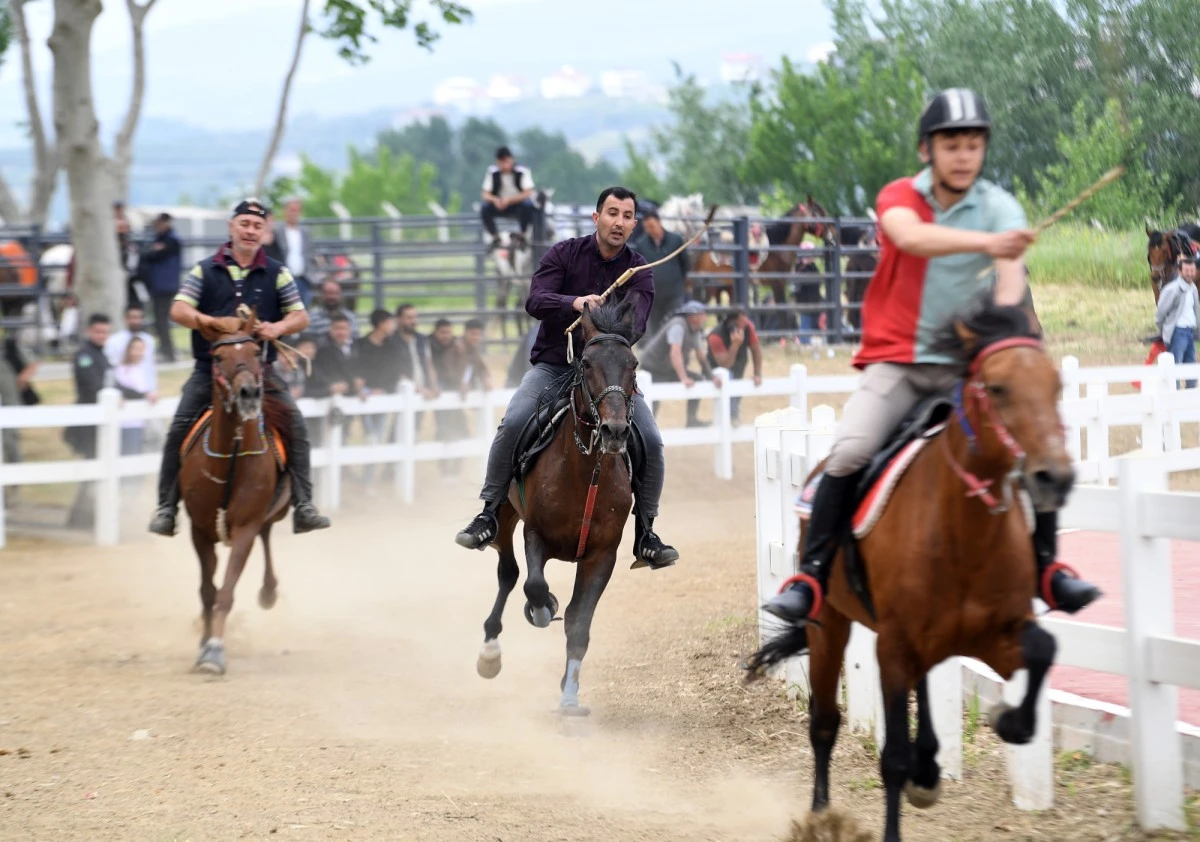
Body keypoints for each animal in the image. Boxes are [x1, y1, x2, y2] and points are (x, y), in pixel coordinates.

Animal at [182, 307, 295, 676]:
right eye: (218, 356)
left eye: (256, 352)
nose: (248, 393)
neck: (228, 458)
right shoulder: (199, 530)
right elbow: (208, 590)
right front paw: (205, 643)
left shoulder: (244, 525)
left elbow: (226, 591)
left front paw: (215, 651)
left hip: (273, 511)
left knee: (267, 535)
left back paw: (269, 592)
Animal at [475, 299, 648, 714]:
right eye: (585, 363)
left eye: (633, 363)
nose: (615, 431)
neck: (586, 472)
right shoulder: (535, 534)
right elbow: (535, 585)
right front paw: (542, 609)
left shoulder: (602, 555)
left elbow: (578, 623)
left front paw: (569, 694)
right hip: (504, 515)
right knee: (508, 573)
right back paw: (490, 652)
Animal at [748, 299, 1080, 839]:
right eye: (998, 388)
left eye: (1056, 386)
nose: (1055, 477)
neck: (963, 534)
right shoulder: (893, 648)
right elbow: (892, 758)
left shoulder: (995, 635)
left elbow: (1043, 647)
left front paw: (1011, 722)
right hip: (830, 624)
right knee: (824, 720)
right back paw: (821, 815)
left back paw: (928, 767)